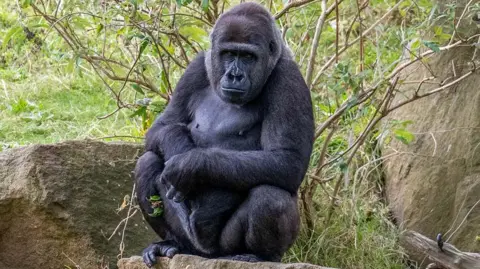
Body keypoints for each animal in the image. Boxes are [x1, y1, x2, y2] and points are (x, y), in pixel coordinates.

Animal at [135, 2, 316, 266]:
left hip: (224, 248)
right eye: (229, 54)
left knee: (270, 196)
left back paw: (259, 255)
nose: (234, 75)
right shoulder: (197, 66)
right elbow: (163, 126)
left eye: (248, 57)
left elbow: (287, 159)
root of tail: (208, 254)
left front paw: (189, 165)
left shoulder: (288, 78)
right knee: (147, 162)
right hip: (194, 245)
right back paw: (172, 243)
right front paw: (181, 153)